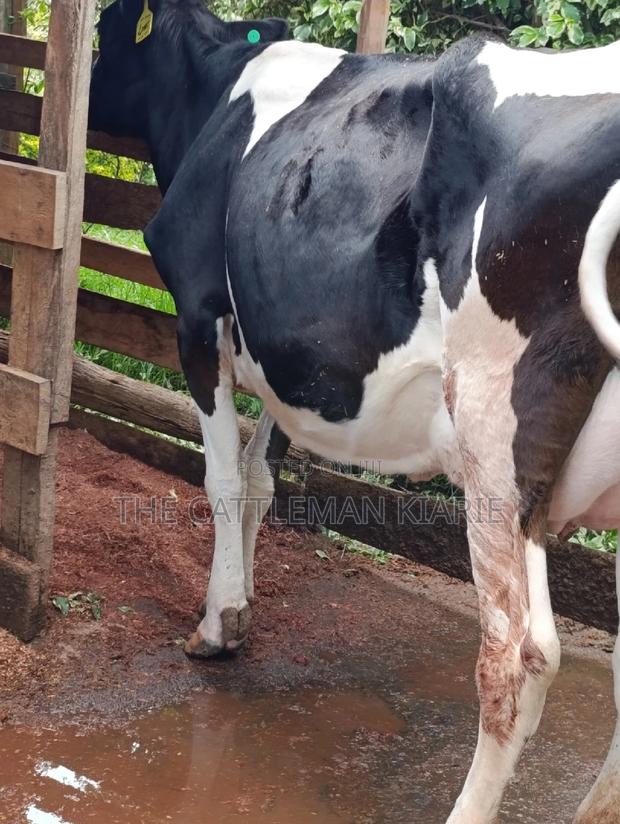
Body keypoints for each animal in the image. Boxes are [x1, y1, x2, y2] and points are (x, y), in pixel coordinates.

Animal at [88, 1, 620, 820]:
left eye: (103, 32)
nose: (83, 90)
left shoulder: (199, 312)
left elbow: (223, 480)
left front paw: (217, 624)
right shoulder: (291, 356)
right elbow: (261, 477)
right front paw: (242, 605)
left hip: (496, 438)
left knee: (517, 654)